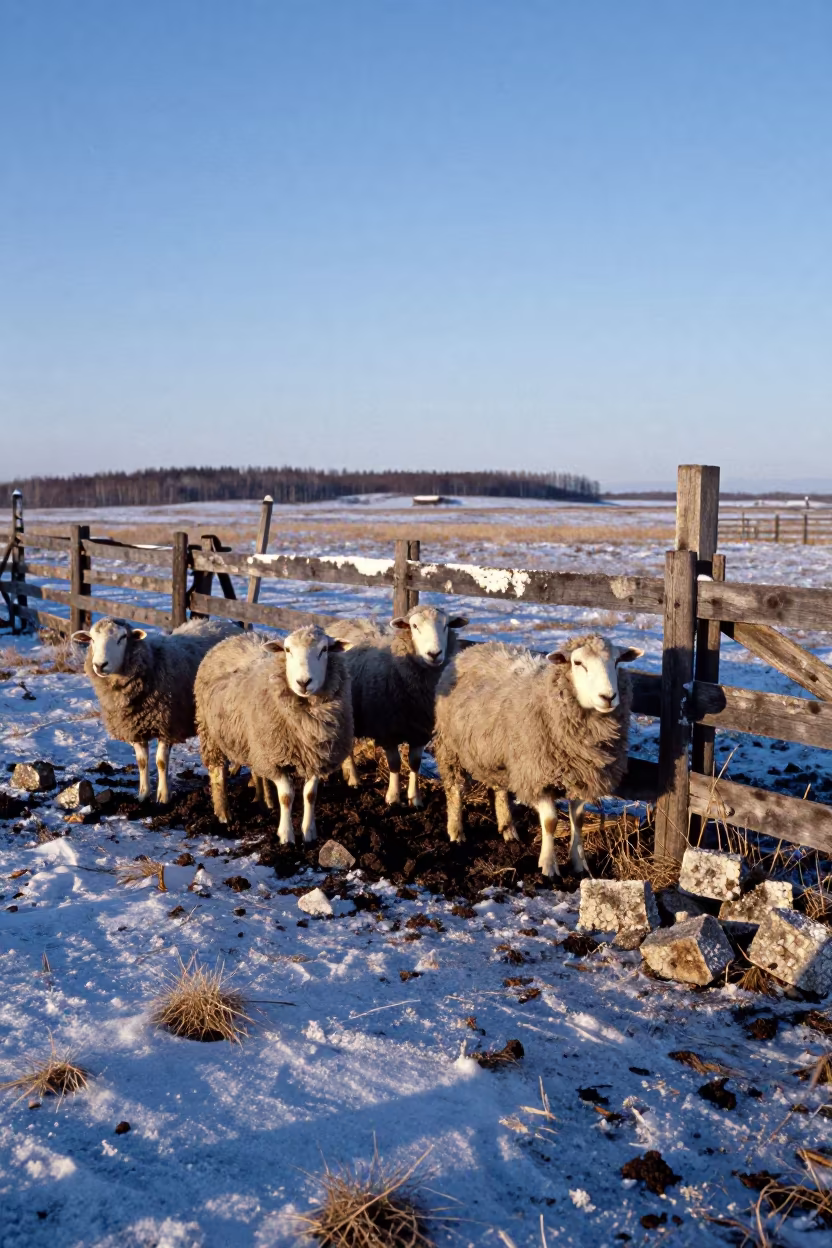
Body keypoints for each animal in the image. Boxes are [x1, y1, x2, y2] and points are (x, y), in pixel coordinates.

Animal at [72, 616, 240, 804]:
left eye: (122, 637)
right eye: (92, 639)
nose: (100, 665)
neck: (151, 662)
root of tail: (225, 623)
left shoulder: (167, 723)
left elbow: (161, 762)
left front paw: (163, 796)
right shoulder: (134, 728)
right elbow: (142, 762)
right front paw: (143, 794)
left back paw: (234, 768)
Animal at [194, 624, 352, 844]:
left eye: (324, 649)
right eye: (287, 650)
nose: (303, 682)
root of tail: (239, 636)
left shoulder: (316, 757)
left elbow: (310, 795)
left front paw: (309, 832)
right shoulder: (275, 758)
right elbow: (286, 796)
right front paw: (286, 836)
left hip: (254, 742)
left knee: (256, 770)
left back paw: (265, 801)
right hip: (211, 733)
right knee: (217, 773)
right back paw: (223, 813)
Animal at [328, 605, 469, 808]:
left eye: (446, 625)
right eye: (414, 626)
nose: (434, 654)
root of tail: (343, 622)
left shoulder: (420, 731)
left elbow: (415, 763)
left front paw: (415, 798)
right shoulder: (387, 729)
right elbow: (394, 763)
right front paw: (393, 797)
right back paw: (354, 779)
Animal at [433, 634, 643, 878]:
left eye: (617, 662)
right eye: (578, 663)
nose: (608, 697)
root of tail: (474, 649)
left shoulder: (582, 776)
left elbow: (578, 820)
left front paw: (580, 864)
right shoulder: (537, 773)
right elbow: (551, 822)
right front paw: (548, 866)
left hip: (497, 754)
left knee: (500, 789)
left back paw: (508, 830)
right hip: (451, 747)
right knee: (455, 788)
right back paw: (456, 832)